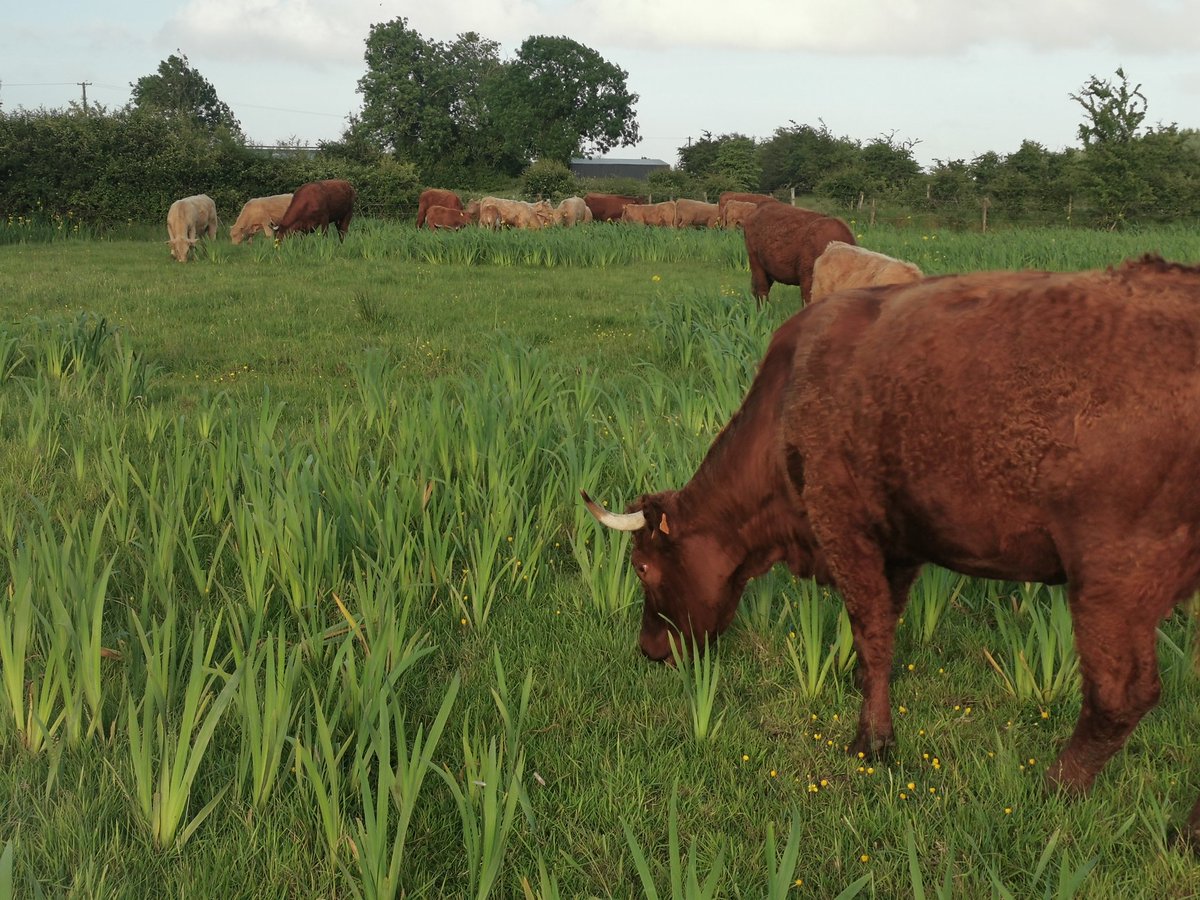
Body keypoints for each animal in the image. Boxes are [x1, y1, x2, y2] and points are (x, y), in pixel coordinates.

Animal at [583, 255, 1200, 848]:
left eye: (642, 567)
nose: (648, 650)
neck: (787, 399)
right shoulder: (899, 550)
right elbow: (884, 633)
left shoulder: (845, 530)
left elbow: (871, 634)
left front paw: (870, 742)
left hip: (1110, 582)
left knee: (1121, 695)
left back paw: (1054, 789)